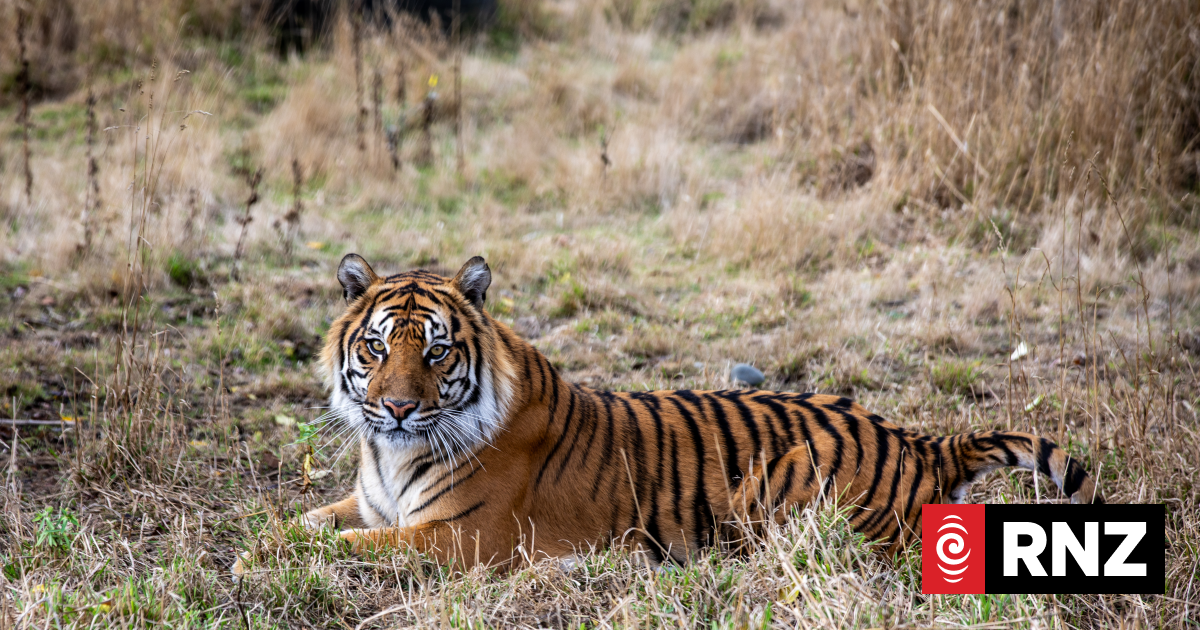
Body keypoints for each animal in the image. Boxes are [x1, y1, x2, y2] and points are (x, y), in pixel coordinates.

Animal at [233, 254, 1102, 574]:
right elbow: (310, 521)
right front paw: (263, 542)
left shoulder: (460, 537)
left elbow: (349, 544)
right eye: (377, 347)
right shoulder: (375, 501)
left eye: (438, 352)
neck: (389, 453)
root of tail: (920, 441)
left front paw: (257, 559)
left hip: (785, 488)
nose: (397, 407)